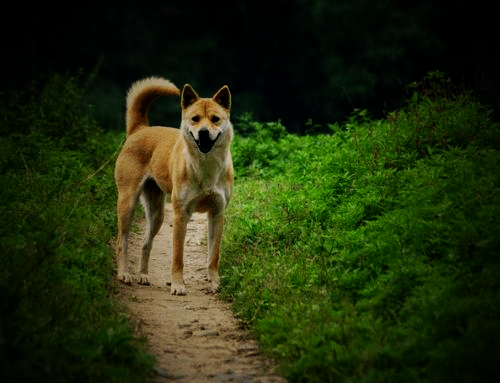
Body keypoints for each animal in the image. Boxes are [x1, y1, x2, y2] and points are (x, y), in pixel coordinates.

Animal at [115, 76, 234, 296]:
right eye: (195, 118)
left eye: (215, 119)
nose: (203, 133)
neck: (206, 167)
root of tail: (140, 129)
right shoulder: (181, 215)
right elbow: (178, 256)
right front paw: (178, 285)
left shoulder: (217, 214)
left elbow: (213, 256)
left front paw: (214, 283)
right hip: (127, 203)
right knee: (121, 241)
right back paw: (124, 274)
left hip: (157, 213)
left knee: (146, 244)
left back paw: (143, 276)